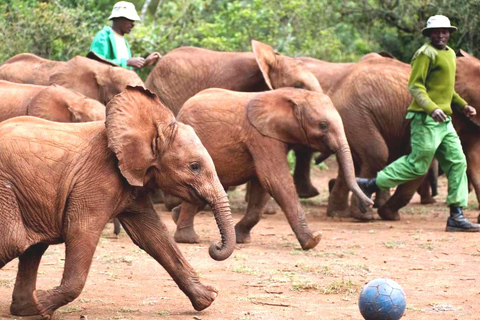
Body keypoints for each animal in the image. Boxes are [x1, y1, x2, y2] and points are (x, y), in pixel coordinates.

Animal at [0, 86, 236, 318]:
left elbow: (153, 236)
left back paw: (25, 309)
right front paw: (42, 303)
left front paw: (207, 299)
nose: (215, 246)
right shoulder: (98, 179)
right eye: (195, 166)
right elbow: (81, 231)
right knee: (14, 241)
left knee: (31, 247)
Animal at [173, 87, 376, 250]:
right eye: (323, 125)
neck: (293, 95)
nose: (369, 204)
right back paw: (188, 239)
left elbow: (262, 187)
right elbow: (275, 180)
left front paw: (241, 238)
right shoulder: (262, 137)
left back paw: (176, 216)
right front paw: (313, 241)